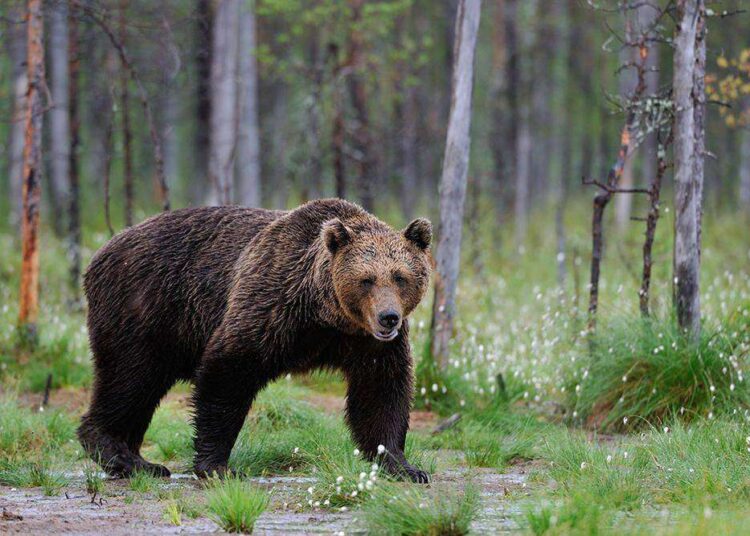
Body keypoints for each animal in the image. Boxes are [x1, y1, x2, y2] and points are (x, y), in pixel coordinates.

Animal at [78, 198, 432, 482]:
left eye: (400, 276)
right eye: (366, 279)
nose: (388, 317)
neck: (325, 315)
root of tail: (102, 250)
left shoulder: (366, 343)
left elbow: (381, 392)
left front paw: (404, 466)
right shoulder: (271, 304)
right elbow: (228, 371)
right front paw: (218, 466)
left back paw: (139, 460)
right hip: (143, 307)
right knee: (129, 378)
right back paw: (122, 455)